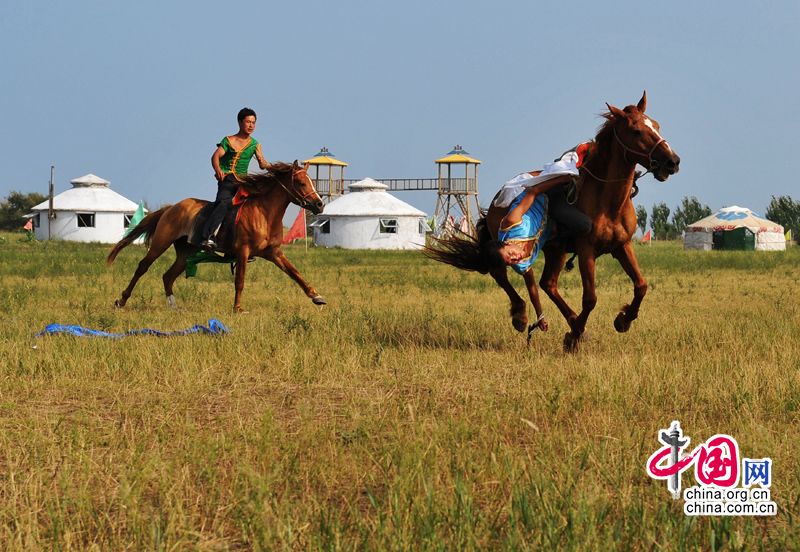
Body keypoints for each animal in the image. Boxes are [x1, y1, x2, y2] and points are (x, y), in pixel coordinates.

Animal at [106, 162, 324, 312]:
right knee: (143, 267)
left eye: (312, 181)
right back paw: (121, 300)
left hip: (186, 253)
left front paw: (316, 296)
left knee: (168, 276)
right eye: (301, 183)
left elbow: (295, 273)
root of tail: (172, 207)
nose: (319, 204)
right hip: (161, 242)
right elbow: (240, 281)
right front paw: (237, 308)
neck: (264, 213)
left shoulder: (274, 253)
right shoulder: (243, 252)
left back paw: (173, 306)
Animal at [428, 90, 680, 350]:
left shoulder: (622, 245)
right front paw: (574, 336)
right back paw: (522, 315)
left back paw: (566, 320)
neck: (607, 200)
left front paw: (622, 321)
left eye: (656, 125)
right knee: (503, 273)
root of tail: (499, 196)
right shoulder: (586, 249)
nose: (672, 161)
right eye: (636, 131)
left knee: (547, 283)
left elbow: (641, 286)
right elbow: (590, 298)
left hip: (556, 251)